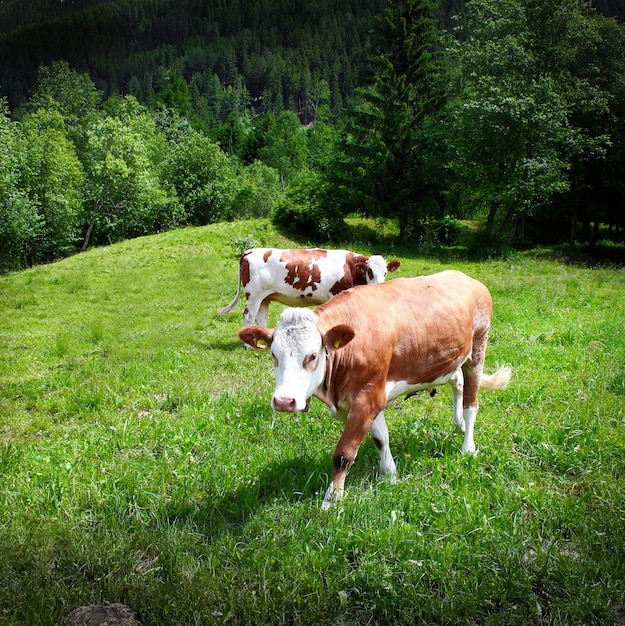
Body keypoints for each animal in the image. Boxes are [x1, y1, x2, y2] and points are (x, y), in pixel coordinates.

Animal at [219, 247, 400, 326]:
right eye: (370, 271)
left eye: (385, 272)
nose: (379, 286)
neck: (349, 267)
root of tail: (249, 251)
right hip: (254, 295)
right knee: (249, 316)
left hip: (265, 297)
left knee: (261, 317)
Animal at [239, 268, 512, 508]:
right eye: (273, 354)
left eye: (312, 355)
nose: (284, 401)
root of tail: (468, 280)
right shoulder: (371, 395)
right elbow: (381, 437)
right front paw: (389, 475)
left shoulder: (367, 397)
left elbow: (344, 454)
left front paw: (331, 500)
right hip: (449, 357)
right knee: (457, 383)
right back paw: (458, 424)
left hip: (477, 350)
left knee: (471, 403)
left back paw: (468, 446)